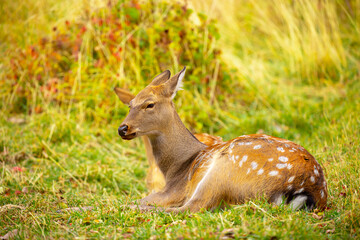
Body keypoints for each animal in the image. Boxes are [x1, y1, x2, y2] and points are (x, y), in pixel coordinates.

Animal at [116, 67, 328, 212]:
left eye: (149, 104)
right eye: (130, 105)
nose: (122, 128)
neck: (176, 167)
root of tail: (308, 190)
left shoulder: (174, 190)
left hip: (226, 168)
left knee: (193, 207)